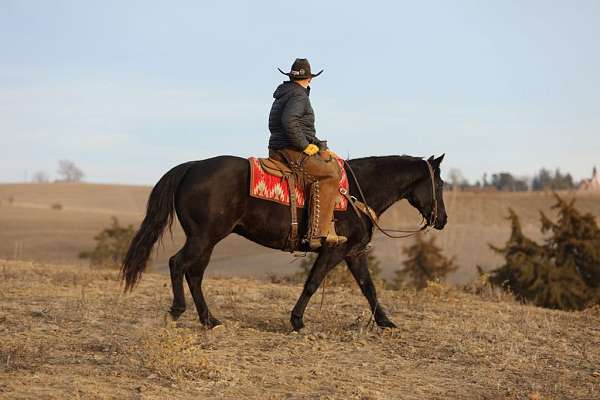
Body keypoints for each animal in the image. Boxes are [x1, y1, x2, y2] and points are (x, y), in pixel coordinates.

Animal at [122, 155, 448, 330]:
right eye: (441, 184)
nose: (442, 219)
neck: (357, 192)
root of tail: (192, 166)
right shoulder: (334, 249)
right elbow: (312, 283)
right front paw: (297, 321)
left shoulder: (353, 253)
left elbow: (369, 287)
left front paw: (386, 322)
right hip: (204, 237)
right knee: (178, 264)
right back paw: (178, 311)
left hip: (207, 239)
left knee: (194, 274)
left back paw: (209, 320)